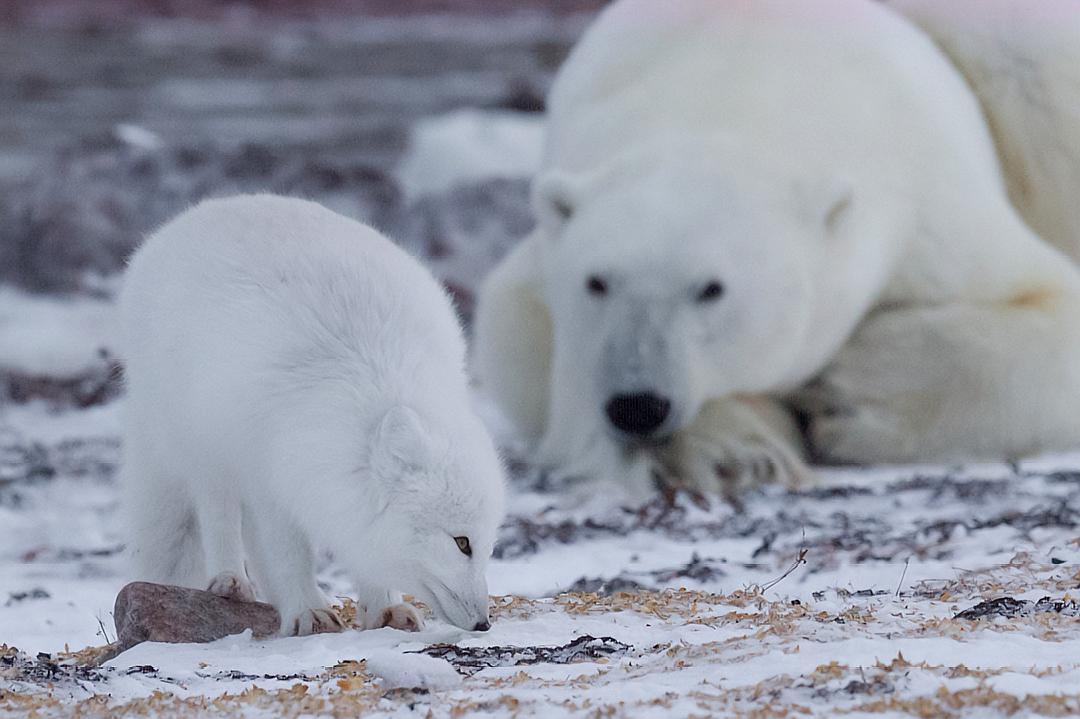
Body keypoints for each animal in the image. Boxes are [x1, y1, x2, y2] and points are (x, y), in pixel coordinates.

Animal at [118, 192, 505, 634]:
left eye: (488, 546)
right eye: (462, 543)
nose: (483, 623)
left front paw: (384, 609)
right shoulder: (268, 479)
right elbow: (288, 554)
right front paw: (308, 612)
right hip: (201, 445)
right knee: (218, 515)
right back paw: (231, 582)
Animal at [475, 0, 1080, 498]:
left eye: (711, 289)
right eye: (596, 282)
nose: (637, 404)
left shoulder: (933, 209)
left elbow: (1048, 304)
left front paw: (846, 397)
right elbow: (536, 347)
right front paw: (733, 452)